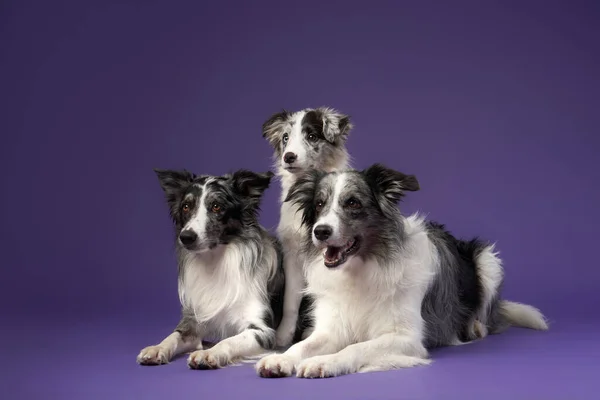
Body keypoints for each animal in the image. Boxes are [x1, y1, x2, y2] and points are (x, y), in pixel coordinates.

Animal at [138, 168, 284, 368]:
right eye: (186, 207)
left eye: (216, 206)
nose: (186, 237)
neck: (215, 262)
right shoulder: (193, 320)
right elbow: (174, 335)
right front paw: (157, 348)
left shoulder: (263, 331)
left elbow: (229, 341)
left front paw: (209, 353)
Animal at [262, 107, 354, 346]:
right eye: (285, 137)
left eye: (312, 136)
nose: (288, 156)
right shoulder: (292, 256)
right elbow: (290, 301)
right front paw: (283, 336)